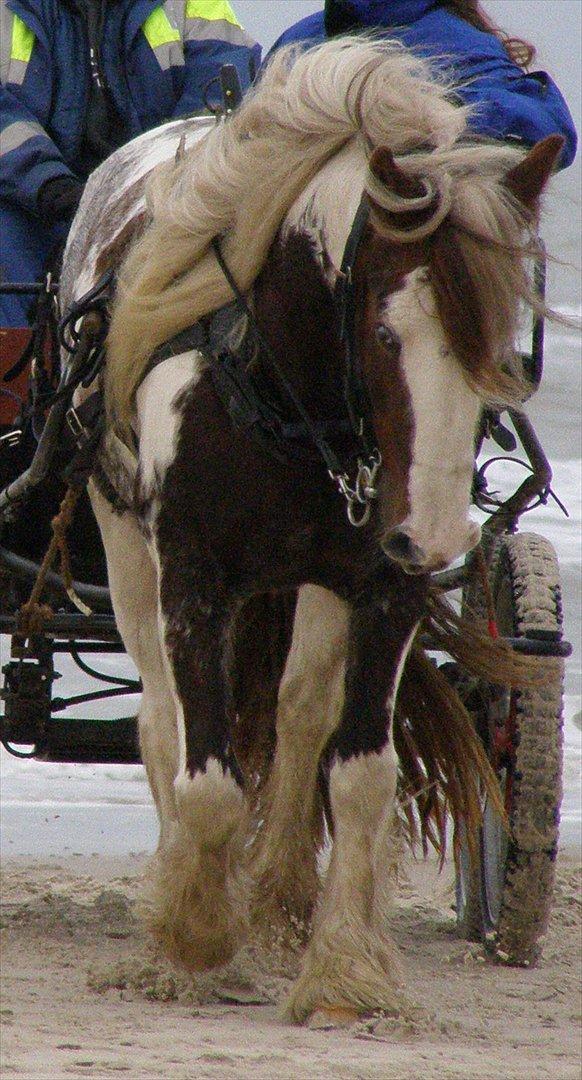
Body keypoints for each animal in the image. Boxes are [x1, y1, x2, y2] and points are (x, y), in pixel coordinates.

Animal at [58, 39, 561, 1019]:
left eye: (508, 346)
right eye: (385, 333)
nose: (432, 534)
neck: (284, 390)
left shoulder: (384, 583)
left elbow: (359, 771)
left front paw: (342, 968)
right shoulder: (194, 575)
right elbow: (208, 775)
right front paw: (194, 935)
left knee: (296, 714)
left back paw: (282, 896)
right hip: (124, 542)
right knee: (161, 720)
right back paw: (184, 887)